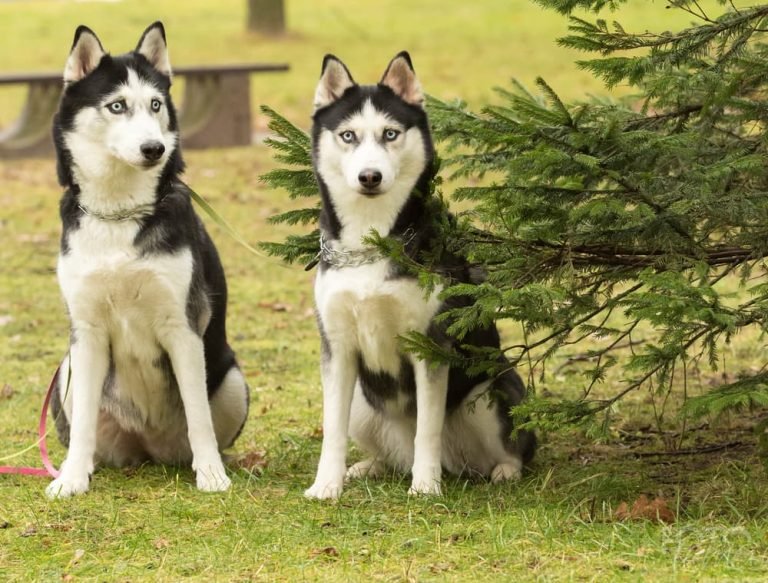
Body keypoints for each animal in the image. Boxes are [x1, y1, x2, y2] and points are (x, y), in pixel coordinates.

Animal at [46, 22, 249, 498]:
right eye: (117, 106)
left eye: (155, 104)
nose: (154, 148)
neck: (119, 213)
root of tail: (149, 449)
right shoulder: (87, 333)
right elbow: (83, 423)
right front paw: (72, 478)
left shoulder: (183, 328)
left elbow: (199, 417)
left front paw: (211, 474)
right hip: (66, 369)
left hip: (232, 377)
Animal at [305, 52, 536, 499]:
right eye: (348, 136)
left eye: (390, 134)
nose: (370, 176)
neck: (373, 240)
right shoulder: (337, 349)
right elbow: (332, 431)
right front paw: (326, 485)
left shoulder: (430, 347)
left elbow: (427, 429)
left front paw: (426, 486)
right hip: (363, 403)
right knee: (389, 452)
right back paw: (369, 466)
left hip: (488, 392)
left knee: (512, 448)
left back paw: (502, 470)